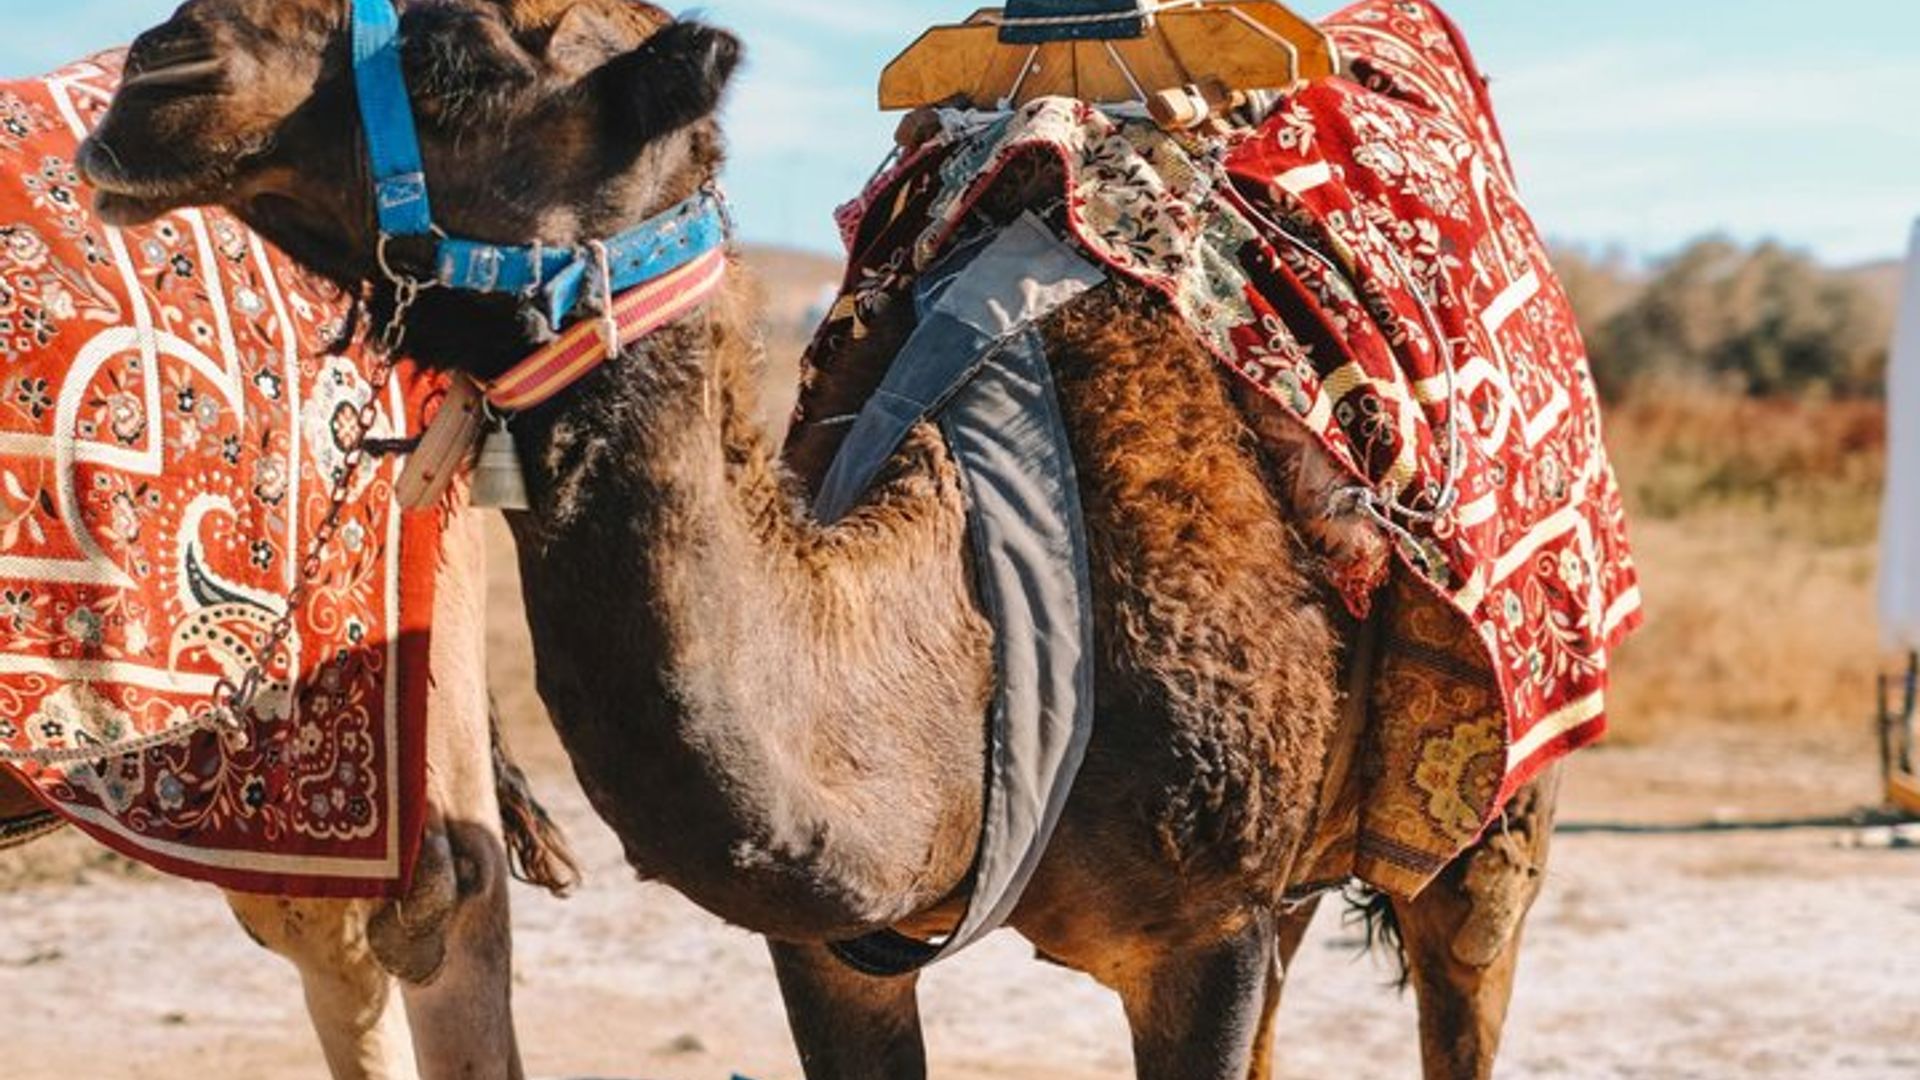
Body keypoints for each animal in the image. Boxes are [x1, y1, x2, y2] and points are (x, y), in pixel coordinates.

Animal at [80, 1, 1566, 1076]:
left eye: (470, 43)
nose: (152, 72)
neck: (993, 635)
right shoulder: (836, 950)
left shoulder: (1203, 935)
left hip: (1488, 816)